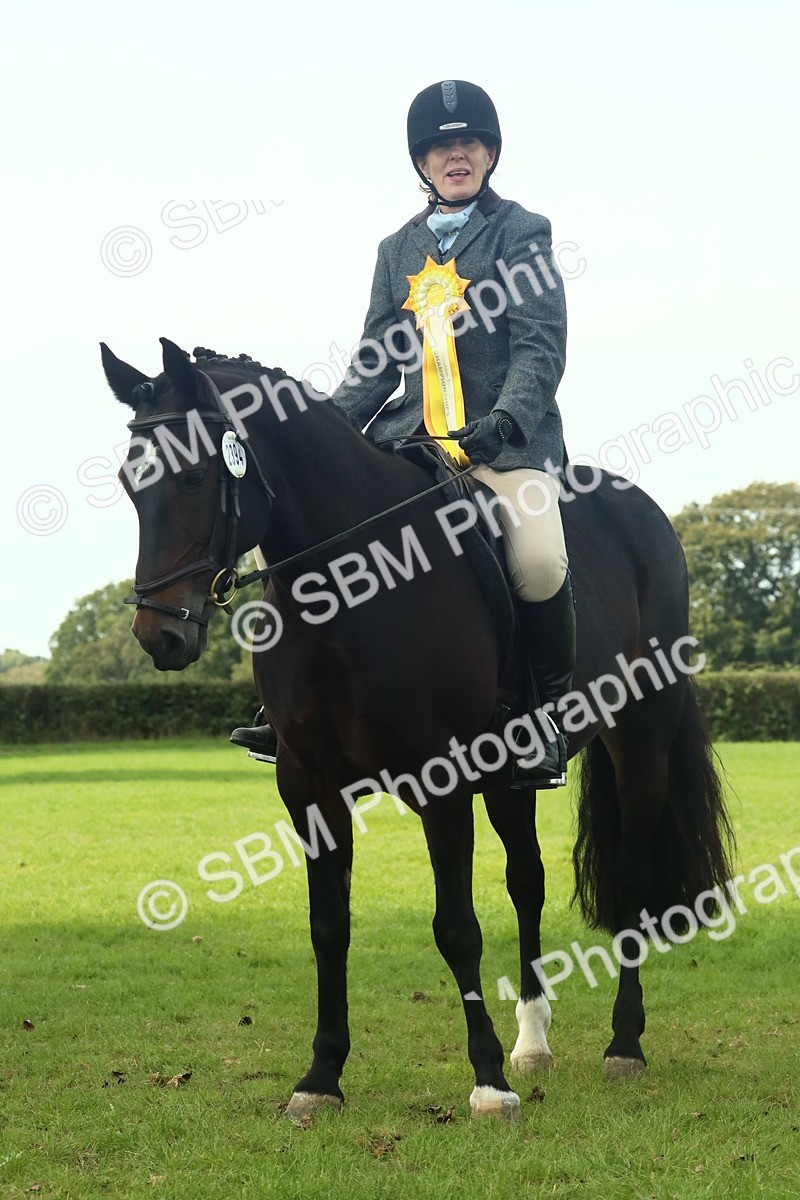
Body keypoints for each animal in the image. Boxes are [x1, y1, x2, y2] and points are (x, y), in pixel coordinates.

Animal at [101, 337, 734, 1123]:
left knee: (632, 878)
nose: (160, 635)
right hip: (511, 776)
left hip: (640, 743)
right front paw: (321, 1078)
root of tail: (648, 514)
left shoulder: (441, 781)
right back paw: (534, 1042)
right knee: (527, 880)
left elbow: (455, 926)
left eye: (193, 475)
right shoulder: (309, 787)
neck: (349, 587)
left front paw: (488, 1082)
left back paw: (623, 1044)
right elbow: (329, 927)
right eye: (130, 483)